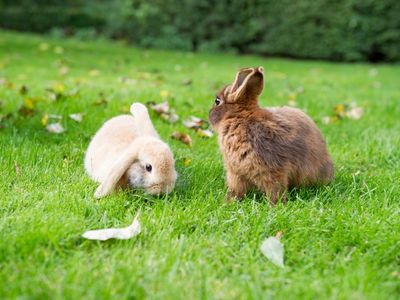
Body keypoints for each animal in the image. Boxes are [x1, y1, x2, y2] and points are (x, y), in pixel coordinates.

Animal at [209, 67, 334, 204]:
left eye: (217, 101)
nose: (208, 114)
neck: (240, 117)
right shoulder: (236, 172)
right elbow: (236, 189)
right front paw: (228, 202)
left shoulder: (271, 168)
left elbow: (275, 189)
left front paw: (275, 204)